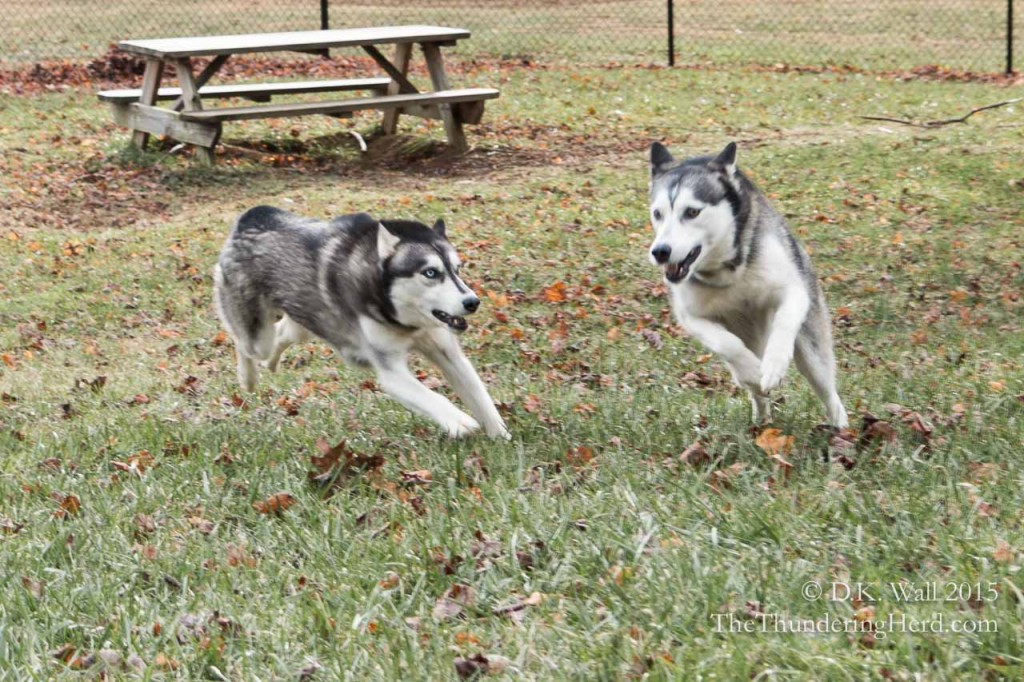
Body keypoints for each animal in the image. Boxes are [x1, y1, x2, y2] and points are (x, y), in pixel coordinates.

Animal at [214, 206, 509, 438]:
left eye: (457, 270)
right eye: (430, 273)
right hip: (256, 336)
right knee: (244, 343)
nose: (472, 302)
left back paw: (271, 363)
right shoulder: (392, 373)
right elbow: (432, 397)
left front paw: (501, 436)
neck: (401, 319)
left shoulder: (448, 353)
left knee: (282, 333)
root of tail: (253, 216)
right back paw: (248, 378)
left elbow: (479, 395)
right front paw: (459, 421)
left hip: (302, 324)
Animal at [647, 141, 847, 425]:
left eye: (692, 212)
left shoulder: (793, 292)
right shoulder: (691, 317)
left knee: (829, 393)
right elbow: (728, 345)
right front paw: (754, 369)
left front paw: (774, 366)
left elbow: (784, 324)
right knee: (754, 388)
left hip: (813, 354)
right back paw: (760, 419)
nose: (660, 251)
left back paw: (841, 428)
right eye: (658, 213)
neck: (728, 271)